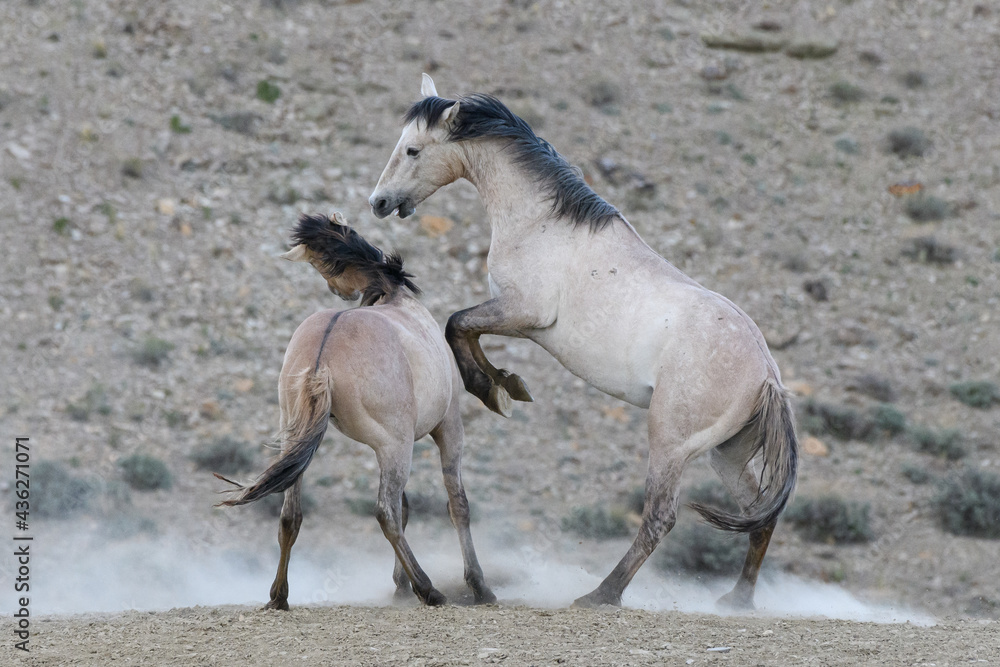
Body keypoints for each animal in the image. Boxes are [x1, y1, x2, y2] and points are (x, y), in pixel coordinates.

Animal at [216, 212, 496, 609]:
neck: (395, 296)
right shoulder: (446, 427)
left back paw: (279, 596)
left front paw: (400, 586)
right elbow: (456, 505)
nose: (340, 292)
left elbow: (410, 507)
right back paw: (429, 589)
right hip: (398, 447)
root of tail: (323, 355)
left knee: (290, 516)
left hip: (302, 442)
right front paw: (478, 586)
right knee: (386, 513)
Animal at [368, 74, 798, 610]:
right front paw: (506, 384)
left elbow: (457, 325)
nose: (378, 202)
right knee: (759, 517)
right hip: (726, 452)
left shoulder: (523, 313)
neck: (543, 221)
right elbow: (464, 329)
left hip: (670, 442)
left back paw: (600, 594)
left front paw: (493, 389)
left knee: (661, 518)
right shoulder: (514, 316)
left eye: (413, 149)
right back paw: (736, 600)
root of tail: (767, 373)